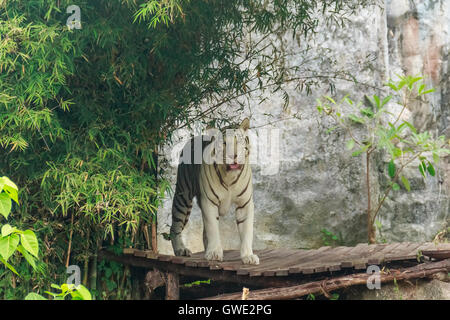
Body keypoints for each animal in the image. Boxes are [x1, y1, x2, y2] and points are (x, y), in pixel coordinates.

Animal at [170, 117, 260, 264]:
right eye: (224, 143)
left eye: (239, 141)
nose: (233, 155)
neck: (229, 177)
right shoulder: (209, 202)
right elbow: (212, 228)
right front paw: (214, 253)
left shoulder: (245, 203)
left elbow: (247, 231)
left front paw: (248, 256)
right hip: (183, 196)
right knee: (175, 226)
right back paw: (181, 249)